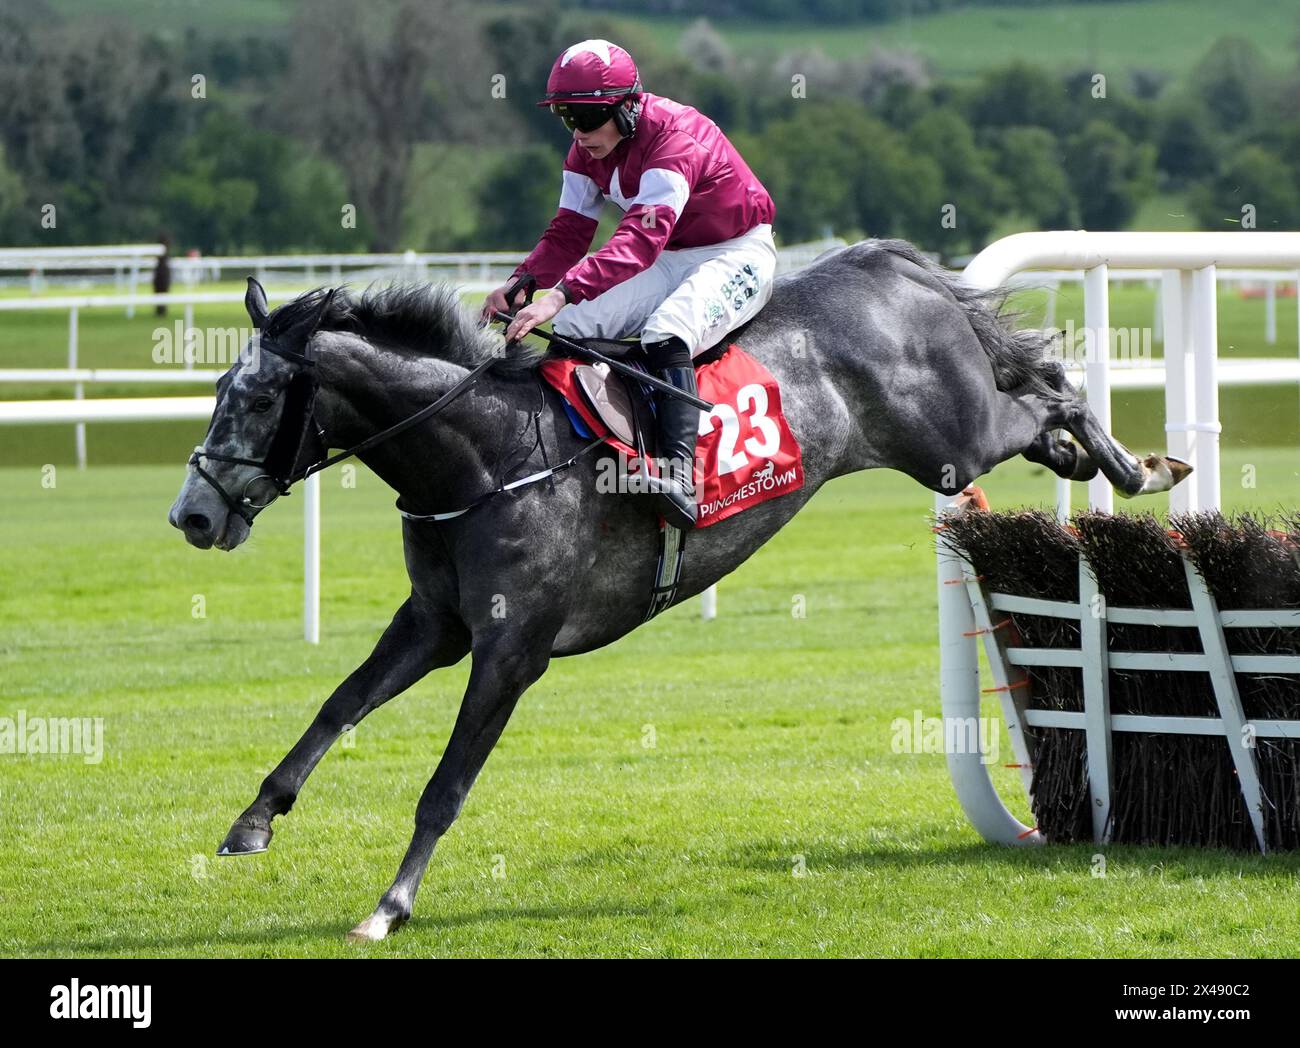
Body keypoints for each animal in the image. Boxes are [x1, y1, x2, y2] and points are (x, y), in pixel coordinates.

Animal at [165, 240, 1190, 941]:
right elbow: (337, 705)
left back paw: (1139, 468)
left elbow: (444, 787)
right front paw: (253, 821)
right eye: (217, 390)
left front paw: (389, 904)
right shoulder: (436, 623)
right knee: (1043, 409)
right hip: (952, 441)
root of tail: (886, 265)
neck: (482, 454)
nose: (193, 517)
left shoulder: (511, 650)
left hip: (955, 439)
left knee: (1053, 392)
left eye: (258, 400)